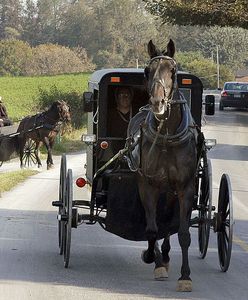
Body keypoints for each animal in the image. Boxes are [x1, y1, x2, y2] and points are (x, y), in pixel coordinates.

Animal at [127, 39, 199, 290]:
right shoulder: (148, 185)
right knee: (156, 224)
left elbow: (184, 233)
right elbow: (151, 228)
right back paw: (158, 257)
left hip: (170, 193)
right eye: (147, 71)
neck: (167, 137)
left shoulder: (185, 188)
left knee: (168, 224)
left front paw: (185, 277)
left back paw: (166, 255)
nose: (157, 102)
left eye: (173, 71)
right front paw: (154, 260)